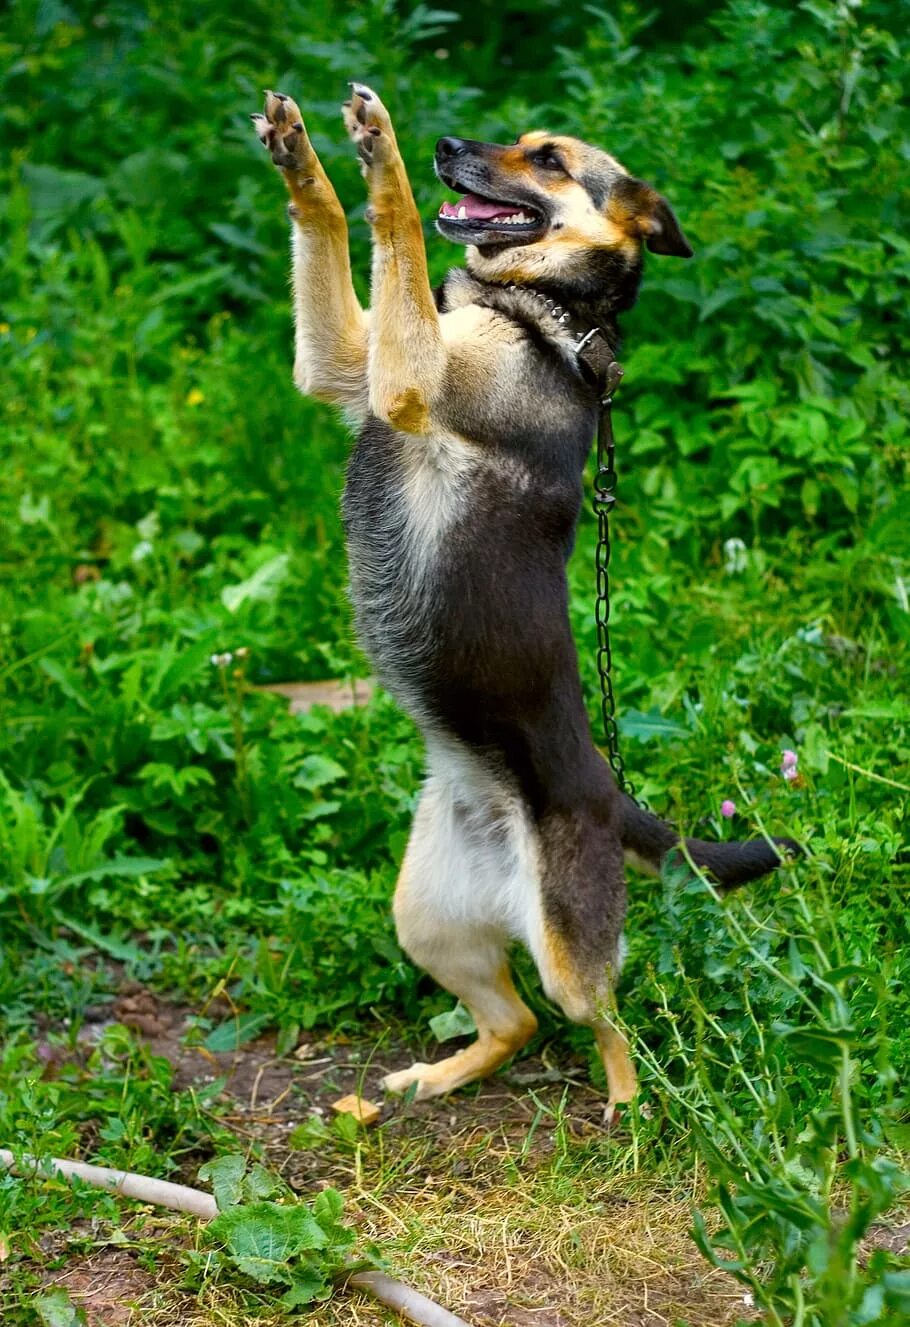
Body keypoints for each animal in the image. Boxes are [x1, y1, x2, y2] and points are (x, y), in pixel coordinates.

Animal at [250, 88, 795, 1114]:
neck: (538, 310)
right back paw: (426, 1081)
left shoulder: (408, 379)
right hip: (426, 918)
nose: (445, 143)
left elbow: (394, 221)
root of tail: (611, 796)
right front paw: (301, 155)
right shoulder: (352, 363)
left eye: (547, 159)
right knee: (514, 1025)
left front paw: (380, 151)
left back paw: (625, 1107)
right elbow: (335, 225)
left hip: (564, 946)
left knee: (607, 1020)